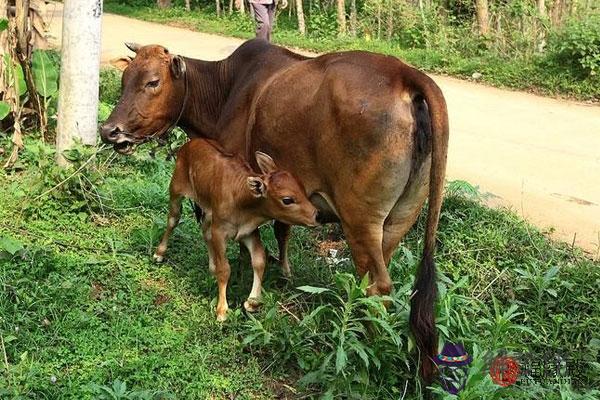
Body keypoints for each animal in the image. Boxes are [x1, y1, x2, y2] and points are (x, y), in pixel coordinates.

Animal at [154, 139, 318, 320]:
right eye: (287, 200)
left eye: (302, 189)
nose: (316, 215)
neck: (241, 199)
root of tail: (191, 143)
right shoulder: (220, 231)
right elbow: (225, 269)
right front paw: (222, 310)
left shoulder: (249, 232)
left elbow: (259, 260)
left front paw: (252, 302)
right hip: (176, 188)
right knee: (173, 220)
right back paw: (159, 253)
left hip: (209, 211)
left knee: (205, 230)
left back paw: (211, 266)